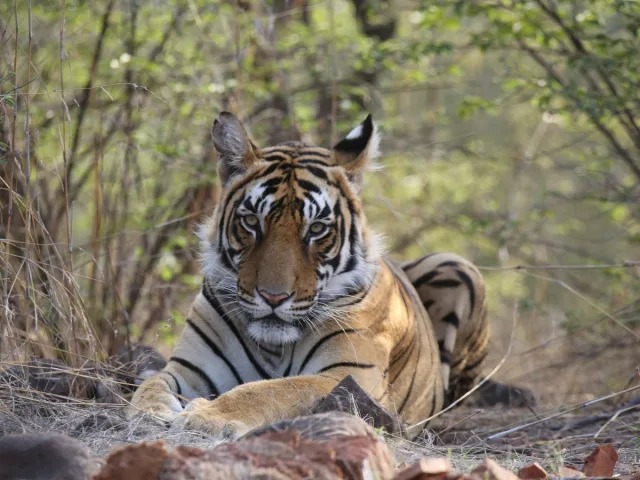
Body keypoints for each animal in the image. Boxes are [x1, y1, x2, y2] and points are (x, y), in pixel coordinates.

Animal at [129, 111, 533, 439]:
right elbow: (152, 386)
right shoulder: (189, 368)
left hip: (458, 266)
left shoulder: (348, 373)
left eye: (317, 229)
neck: (274, 345)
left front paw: (207, 416)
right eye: (252, 222)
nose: (273, 297)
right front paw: (151, 411)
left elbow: (271, 389)